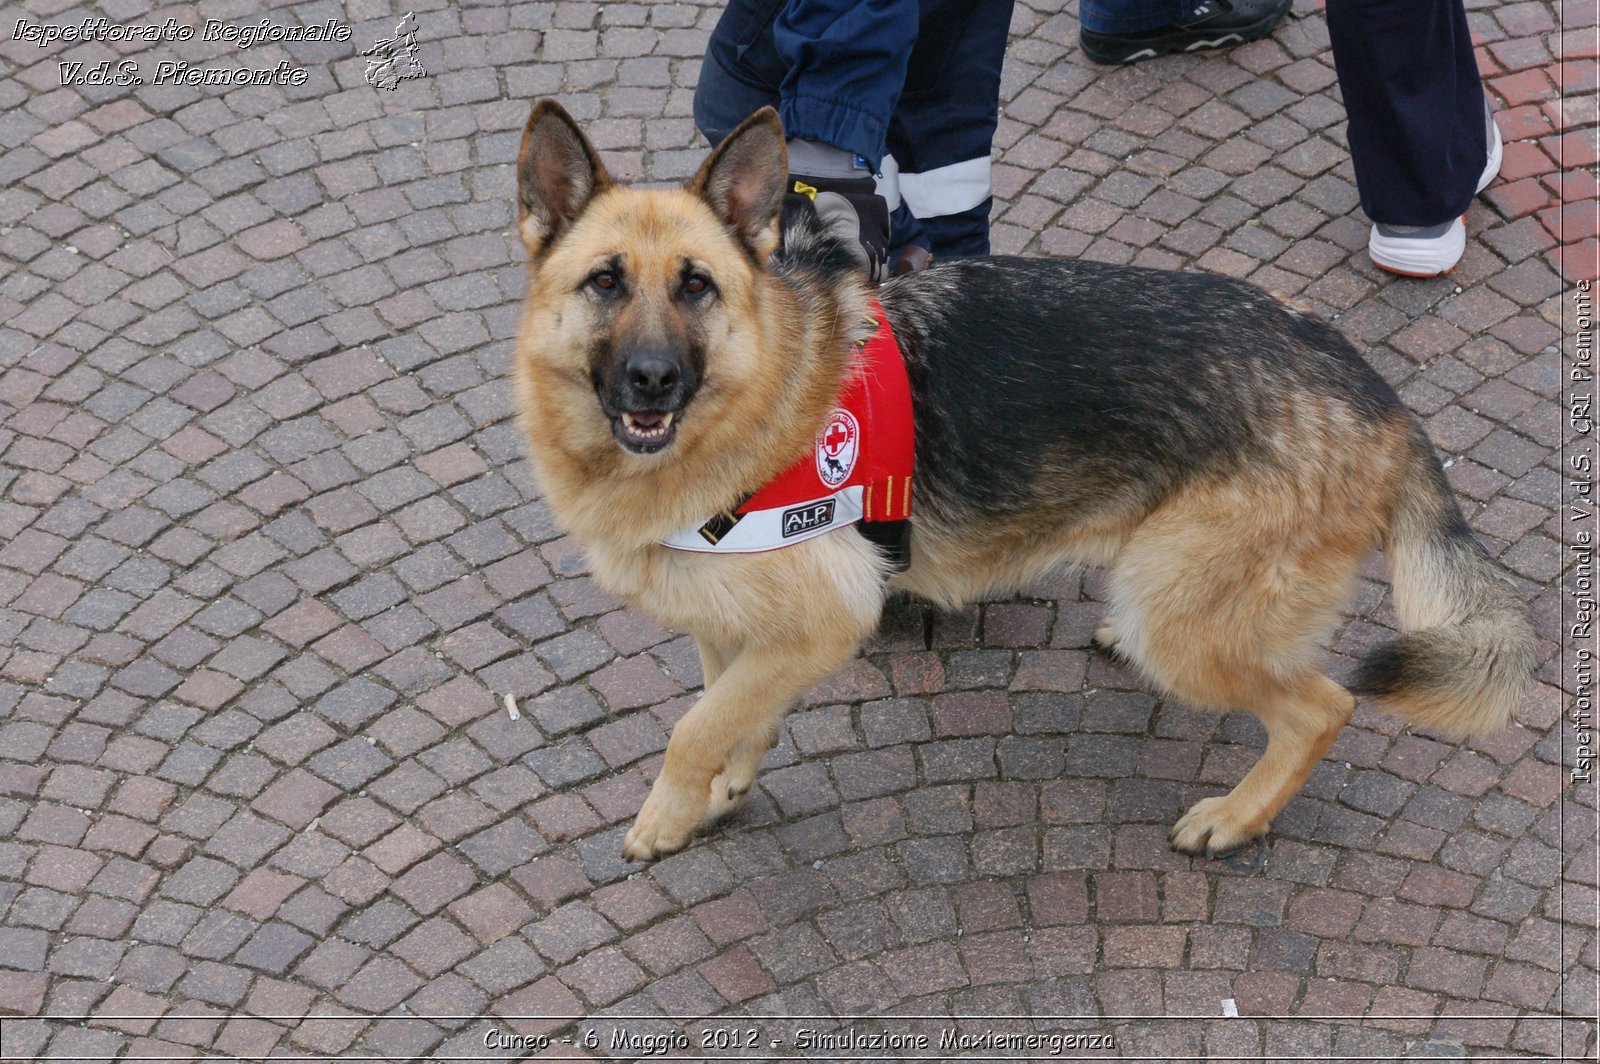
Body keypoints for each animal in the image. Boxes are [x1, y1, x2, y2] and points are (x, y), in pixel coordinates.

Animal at [515, 99, 1536, 864]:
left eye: (697, 286)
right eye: (605, 282)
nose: (651, 381)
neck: (758, 393)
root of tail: (1370, 390)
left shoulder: (823, 622)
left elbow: (692, 725)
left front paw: (663, 817)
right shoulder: (734, 624)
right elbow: (723, 705)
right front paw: (726, 782)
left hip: (1187, 627)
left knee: (1326, 706)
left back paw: (1234, 819)